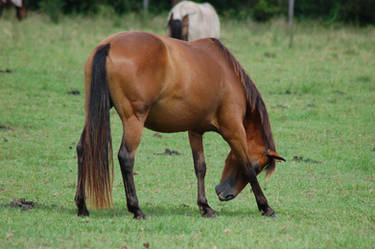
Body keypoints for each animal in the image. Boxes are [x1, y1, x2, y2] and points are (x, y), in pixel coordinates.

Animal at [74, 30, 284, 218]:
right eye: (258, 167)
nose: (223, 193)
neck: (227, 76)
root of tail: (108, 45)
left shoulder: (195, 131)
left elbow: (200, 167)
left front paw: (205, 207)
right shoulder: (234, 131)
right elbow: (245, 164)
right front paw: (266, 207)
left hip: (92, 114)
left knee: (83, 148)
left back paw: (82, 206)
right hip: (134, 120)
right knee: (126, 157)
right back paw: (136, 209)